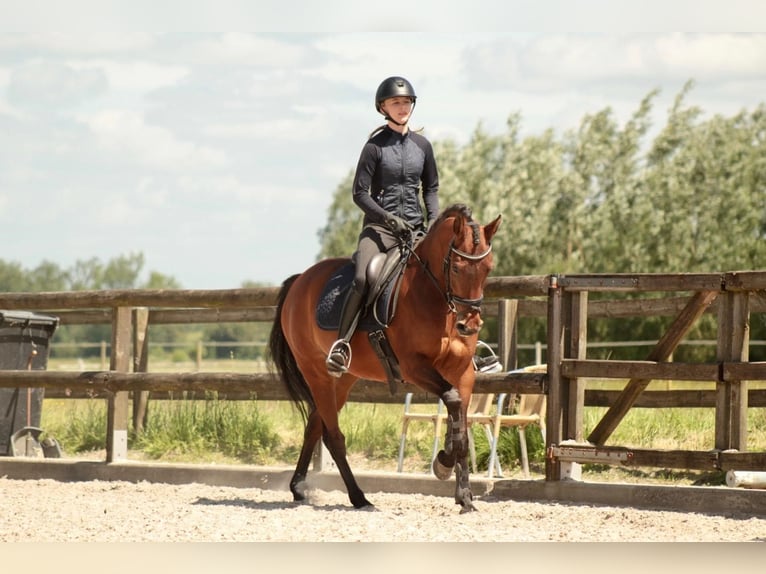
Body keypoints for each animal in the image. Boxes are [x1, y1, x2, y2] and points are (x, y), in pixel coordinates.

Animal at [270, 205, 504, 516]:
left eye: (488, 268)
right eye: (455, 268)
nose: (469, 325)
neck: (434, 296)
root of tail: (300, 280)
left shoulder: (463, 372)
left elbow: (462, 431)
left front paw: (464, 496)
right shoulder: (414, 367)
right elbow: (452, 400)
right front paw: (442, 462)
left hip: (343, 380)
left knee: (314, 427)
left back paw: (298, 488)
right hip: (316, 373)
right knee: (333, 436)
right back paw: (359, 498)